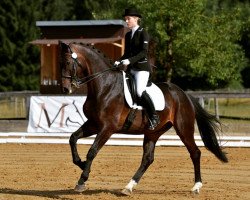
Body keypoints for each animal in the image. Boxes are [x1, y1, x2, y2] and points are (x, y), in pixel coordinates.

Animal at [59, 40, 229, 195]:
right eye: (60, 63)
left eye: (67, 62)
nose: (65, 89)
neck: (104, 86)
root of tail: (184, 94)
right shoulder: (94, 124)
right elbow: (73, 138)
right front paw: (81, 164)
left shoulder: (107, 128)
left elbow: (92, 151)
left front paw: (82, 180)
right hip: (153, 132)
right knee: (147, 159)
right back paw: (128, 187)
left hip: (184, 129)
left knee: (195, 153)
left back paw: (196, 187)